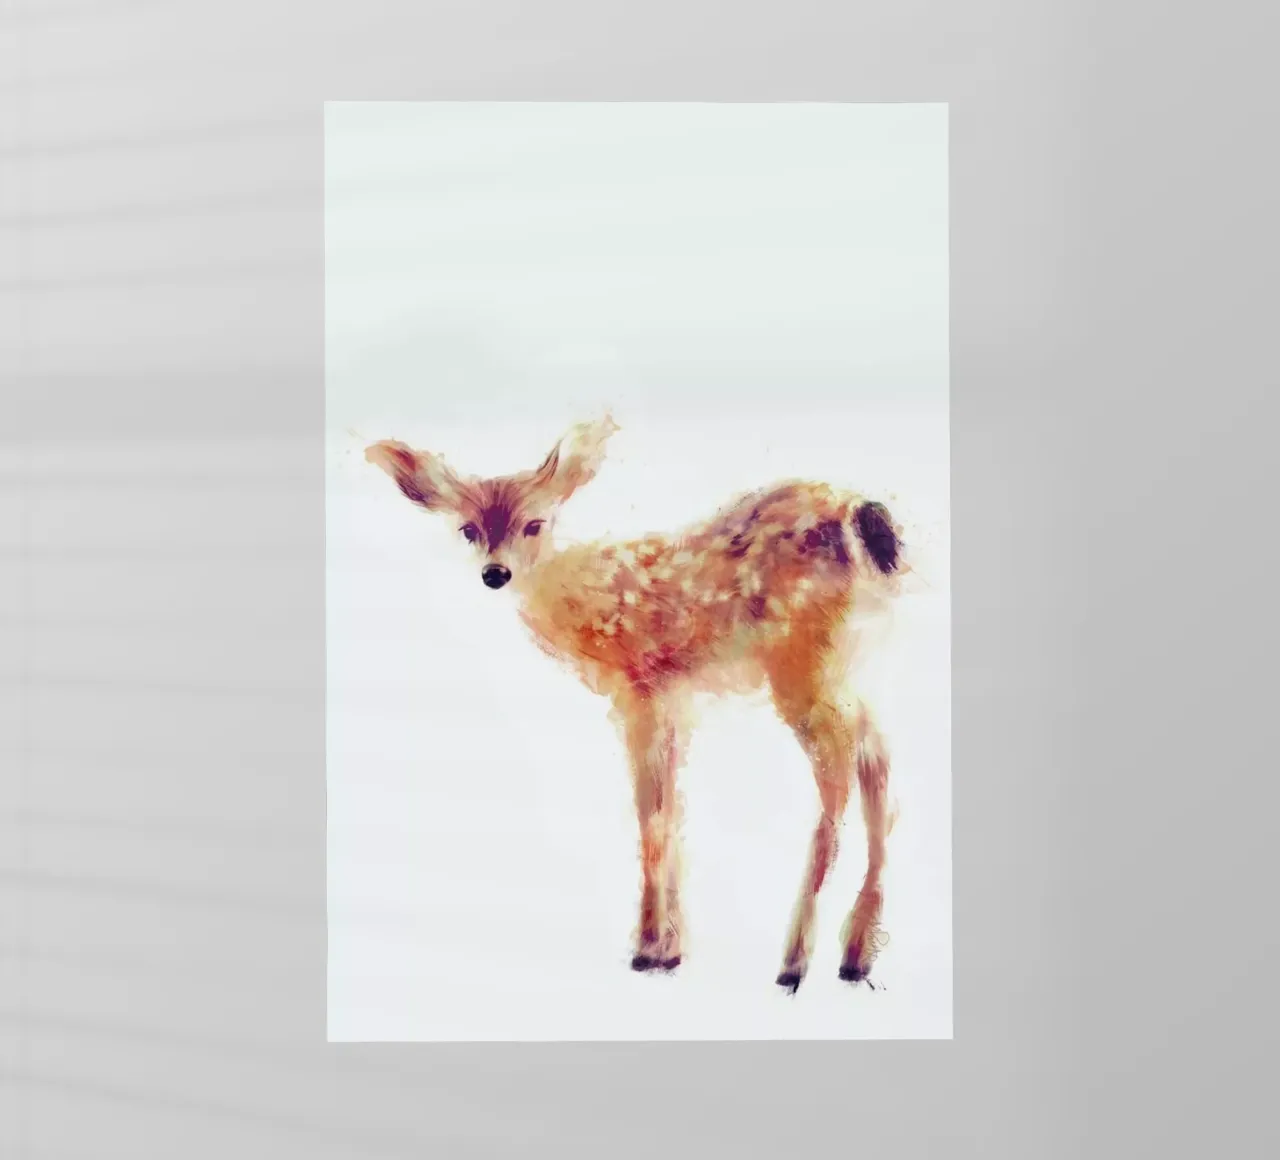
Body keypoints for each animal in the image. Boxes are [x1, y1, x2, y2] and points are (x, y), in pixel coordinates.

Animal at [365, 414, 909, 992]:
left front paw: (648, 949)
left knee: (838, 772)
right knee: (876, 756)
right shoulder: (673, 701)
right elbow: (670, 808)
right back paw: (855, 955)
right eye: (469, 528)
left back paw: (794, 961)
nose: (495, 573)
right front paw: (671, 948)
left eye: (534, 524)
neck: (588, 604)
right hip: (847, 663)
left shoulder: (639, 690)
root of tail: (866, 517)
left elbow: (649, 812)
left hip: (800, 659)